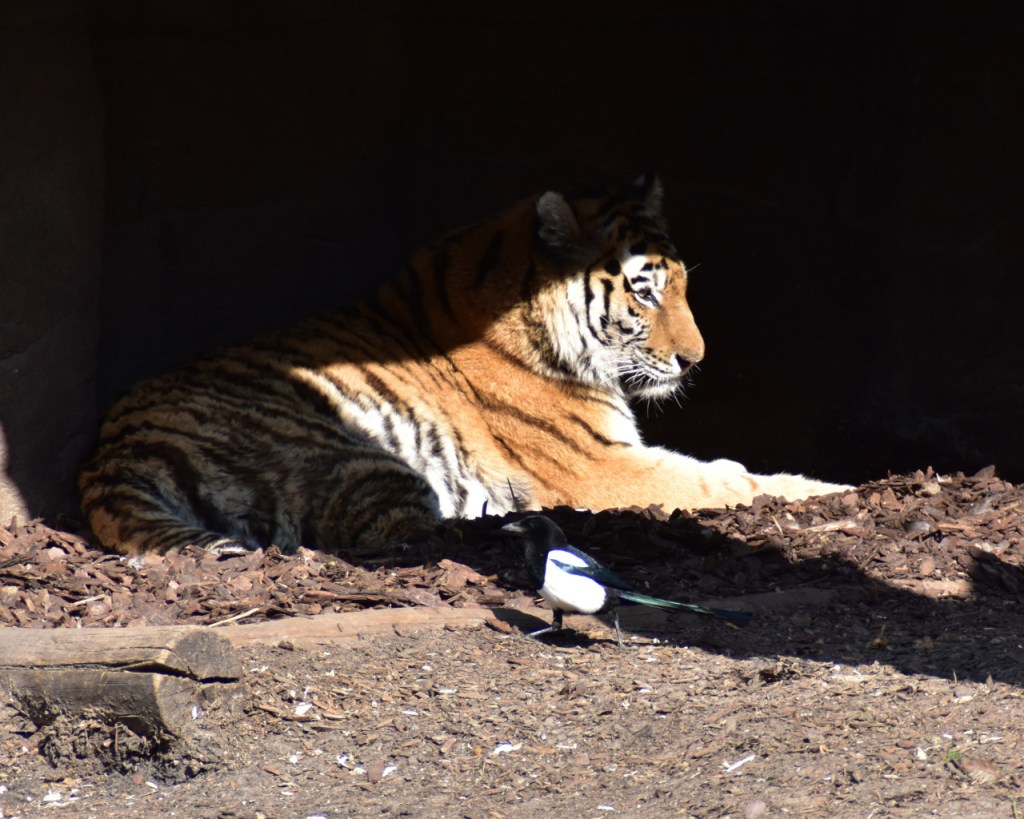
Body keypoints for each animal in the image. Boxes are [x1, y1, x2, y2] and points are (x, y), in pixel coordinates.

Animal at [79, 175, 848, 556]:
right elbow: (728, 482)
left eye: (682, 284)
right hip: (359, 456)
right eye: (645, 290)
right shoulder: (603, 465)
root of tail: (112, 457)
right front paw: (832, 490)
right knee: (388, 535)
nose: (696, 359)